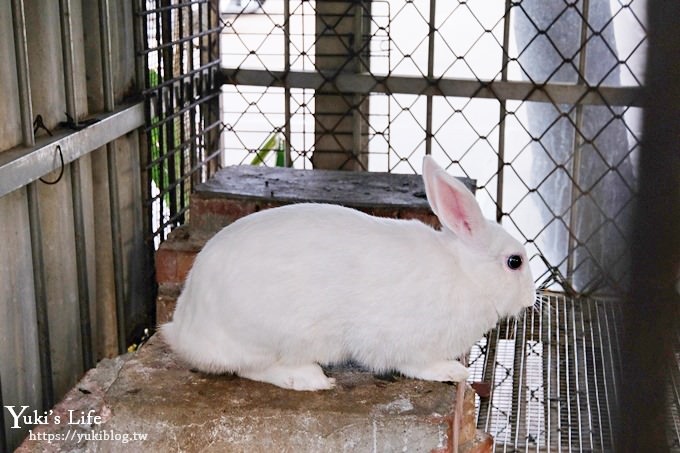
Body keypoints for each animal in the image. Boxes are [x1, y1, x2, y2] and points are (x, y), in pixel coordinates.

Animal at [161, 155, 536, 388]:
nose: (532, 298)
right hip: (269, 337)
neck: (466, 274)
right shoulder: (403, 342)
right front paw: (453, 371)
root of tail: (184, 328)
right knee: (252, 368)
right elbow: (417, 364)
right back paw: (309, 379)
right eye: (514, 262)